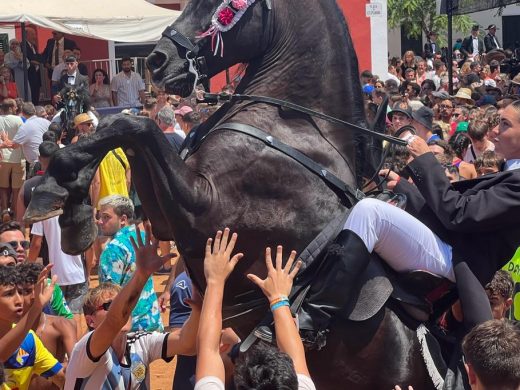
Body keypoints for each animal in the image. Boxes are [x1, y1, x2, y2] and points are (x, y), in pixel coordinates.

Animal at [25, 1, 442, 388]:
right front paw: (66, 200)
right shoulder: (168, 216)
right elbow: (123, 128)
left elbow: (136, 124)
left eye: (221, 7)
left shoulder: (205, 210)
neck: (294, 129)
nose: (157, 61)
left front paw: (59, 186)